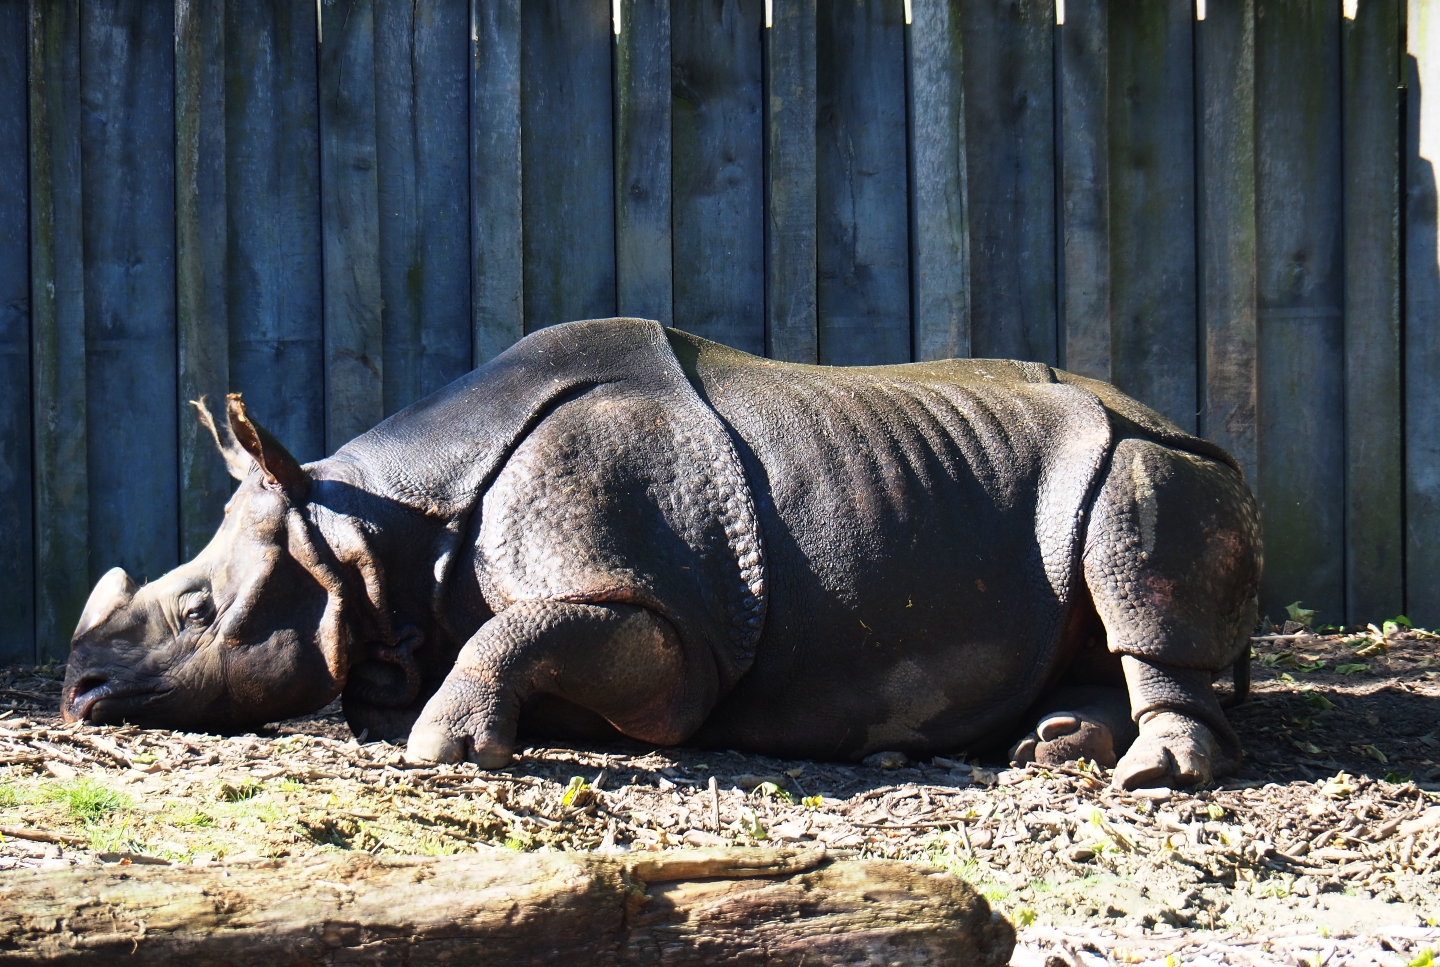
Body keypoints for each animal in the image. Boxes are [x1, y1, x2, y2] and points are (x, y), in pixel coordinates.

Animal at [61, 318, 1261, 789]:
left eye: (198, 615)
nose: (77, 695)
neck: (379, 521)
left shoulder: (673, 625)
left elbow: (527, 630)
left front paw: (442, 747)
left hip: (1159, 461)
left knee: (1139, 559)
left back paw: (1149, 772)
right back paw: (1052, 744)